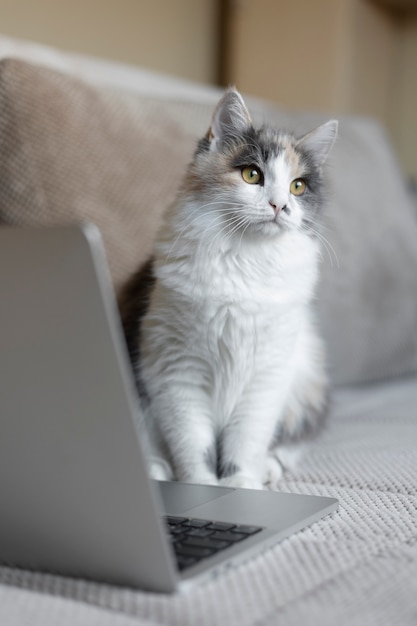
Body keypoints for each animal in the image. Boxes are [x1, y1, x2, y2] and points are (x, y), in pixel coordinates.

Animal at [119, 88, 334, 488]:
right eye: (252, 175)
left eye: (298, 186)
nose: (279, 205)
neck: (245, 260)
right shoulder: (177, 370)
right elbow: (194, 445)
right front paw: (202, 487)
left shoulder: (267, 374)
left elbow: (245, 443)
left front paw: (242, 486)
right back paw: (156, 468)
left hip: (306, 381)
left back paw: (269, 467)